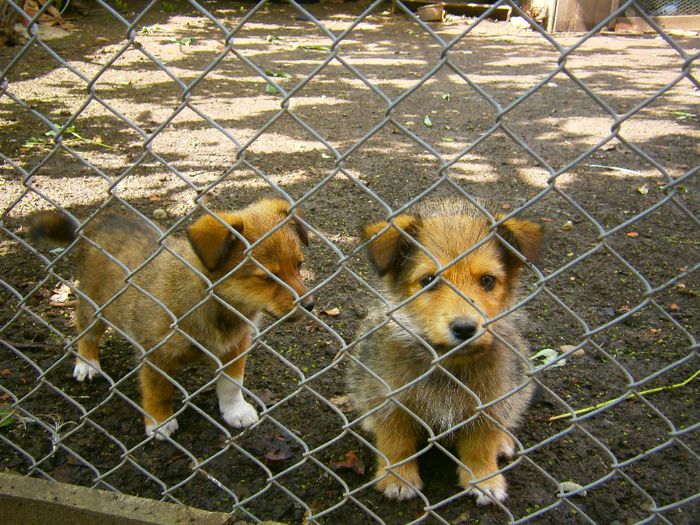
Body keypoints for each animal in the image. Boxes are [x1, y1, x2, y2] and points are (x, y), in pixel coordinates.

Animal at [32, 199, 314, 440]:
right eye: (266, 277)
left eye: (300, 265)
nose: (310, 306)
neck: (219, 305)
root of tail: (95, 225)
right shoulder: (156, 356)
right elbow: (158, 392)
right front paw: (159, 422)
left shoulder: (236, 347)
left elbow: (232, 384)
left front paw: (236, 411)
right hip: (93, 306)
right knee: (86, 334)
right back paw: (87, 363)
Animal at [348, 196, 544, 504]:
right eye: (429, 280)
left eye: (487, 280)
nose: (464, 328)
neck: (447, 363)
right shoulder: (389, 400)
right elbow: (395, 443)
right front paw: (398, 477)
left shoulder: (491, 402)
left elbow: (481, 445)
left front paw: (484, 477)